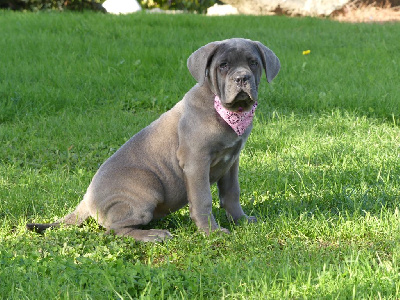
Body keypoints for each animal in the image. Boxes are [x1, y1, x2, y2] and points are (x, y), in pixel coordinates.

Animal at [26, 38, 280, 243]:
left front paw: (242, 220)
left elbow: (232, 193)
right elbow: (203, 199)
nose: (242, 78)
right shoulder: (196, 162)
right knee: (113, 230)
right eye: (223, 65)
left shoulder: (231, 160)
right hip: (148, 187)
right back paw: (152, 235)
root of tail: (86, 200)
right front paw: (211, 232)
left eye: (253, 63)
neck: (226, 110)